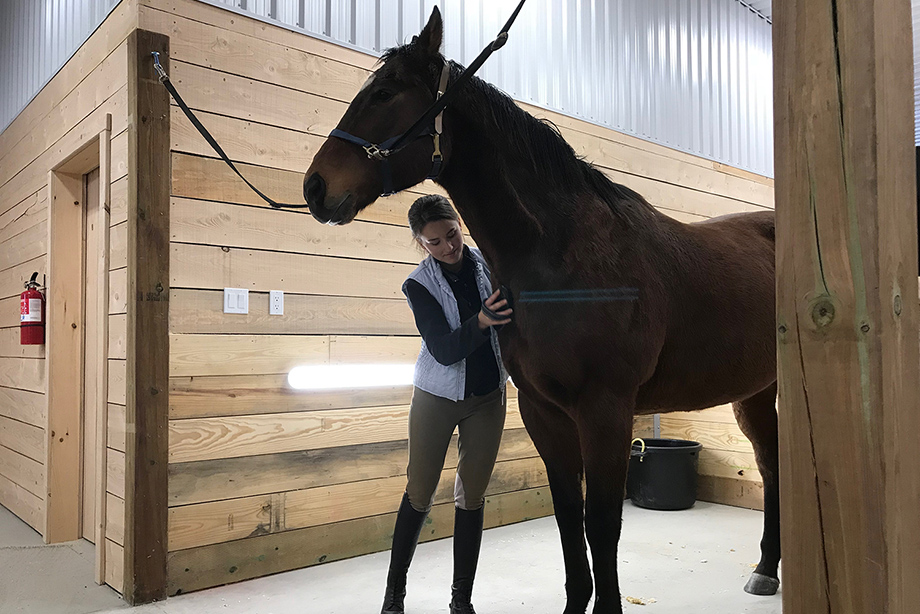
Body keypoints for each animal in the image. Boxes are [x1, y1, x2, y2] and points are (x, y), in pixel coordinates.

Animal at [302, 8, 779, 614]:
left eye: (385, 92)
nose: (315, 187)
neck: (558, 256)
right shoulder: (544, 412)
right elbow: (568, 518)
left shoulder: (606, 410)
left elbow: (602, 524)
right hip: (755, 391)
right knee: (771, 466)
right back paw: (765, 569)